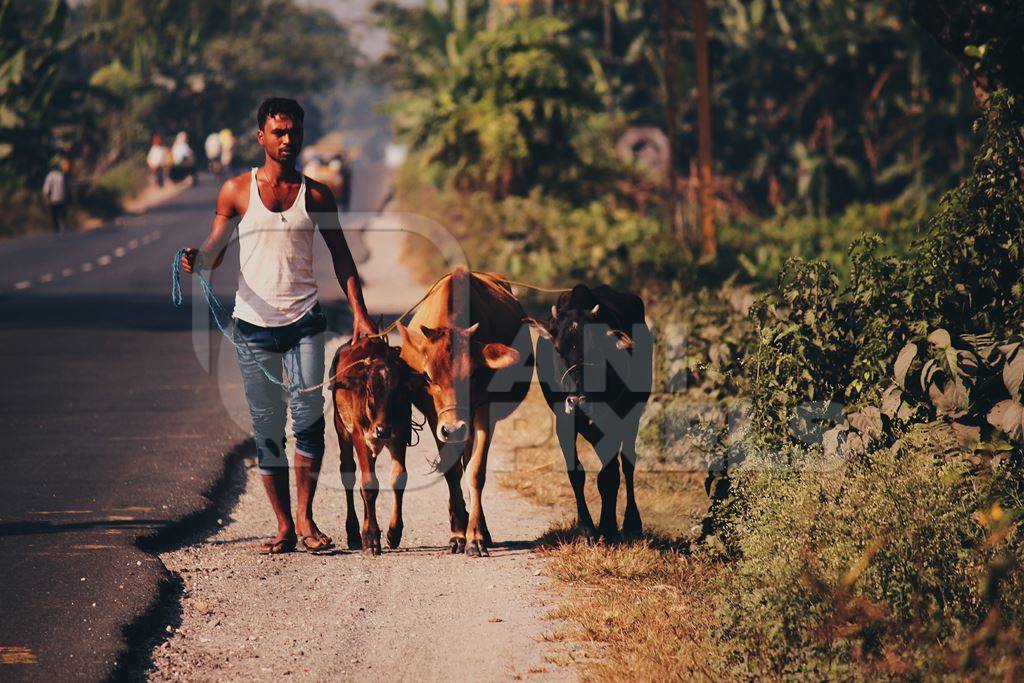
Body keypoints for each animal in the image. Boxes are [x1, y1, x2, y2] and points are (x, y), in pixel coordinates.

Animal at [331, 335, 419, 557]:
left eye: (398, 390)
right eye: (370, 389)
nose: (382, 430)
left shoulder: (399, 437)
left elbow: (398, 479)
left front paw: (393, 532)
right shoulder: (360, 438)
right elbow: (369, 485)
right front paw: (371, 538)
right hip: (342, 429)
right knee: (349, 474)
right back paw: (354, 533)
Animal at [395, 266, 532, 557]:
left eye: (473, 374)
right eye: (427, 376)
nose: (453, 428)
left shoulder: (483, 412)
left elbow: (475, 471)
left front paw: (475, 537)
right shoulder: (435, 417)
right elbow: (451, 471)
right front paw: (458, 534)